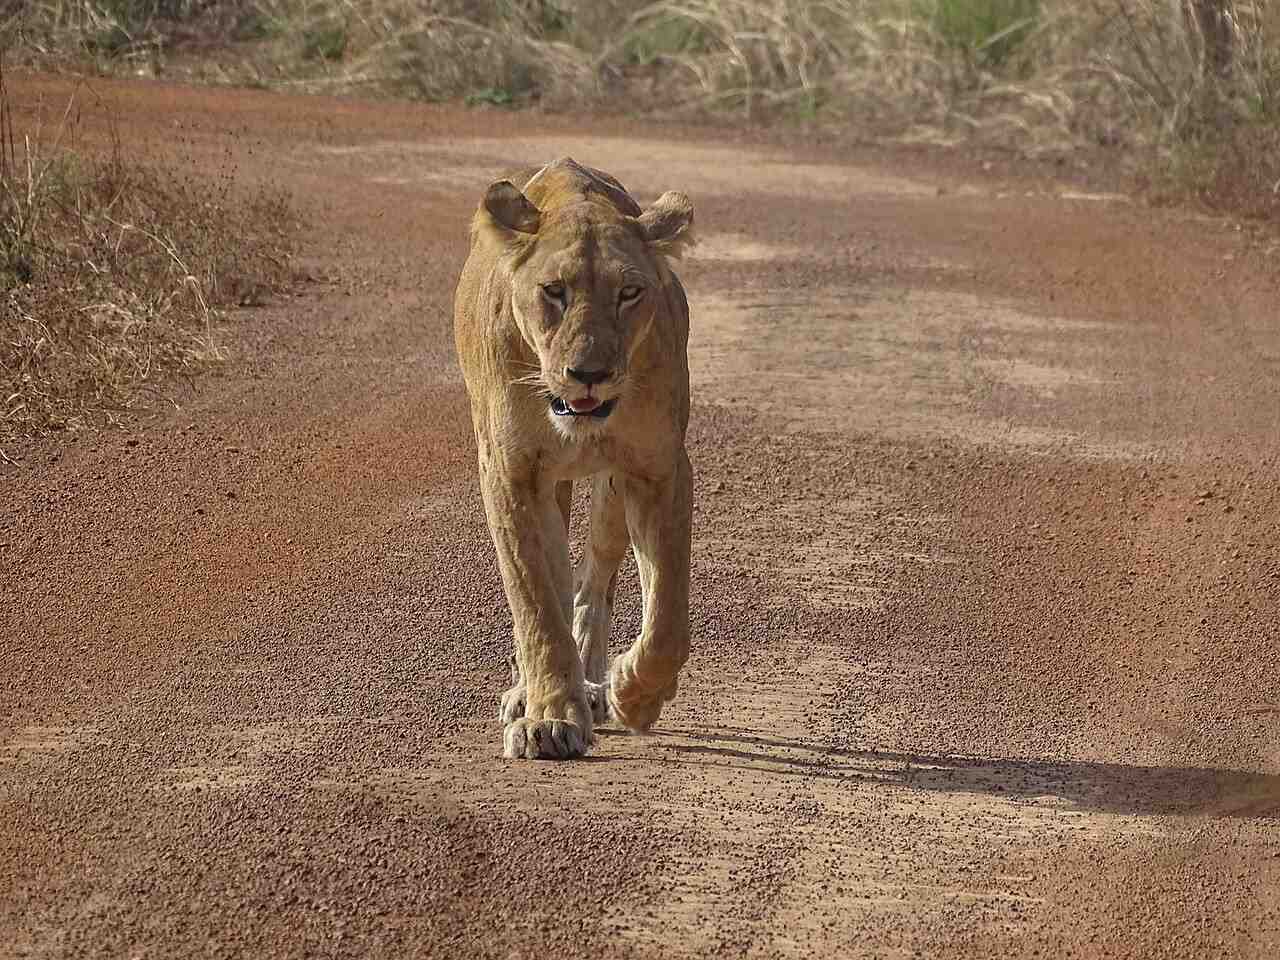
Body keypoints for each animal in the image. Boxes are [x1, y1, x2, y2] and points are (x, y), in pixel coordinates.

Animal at [453, 157, 695, 760]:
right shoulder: (511, 474)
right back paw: (537, 693)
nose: (589, 374)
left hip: (610, 490)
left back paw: (595, 685)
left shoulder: (657, 467)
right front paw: (549, 718)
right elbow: (536, 601)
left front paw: (635, 695)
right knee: (557, 586)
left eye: (629, 292)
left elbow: (666, 616)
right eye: (553, 291)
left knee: (594, 581)